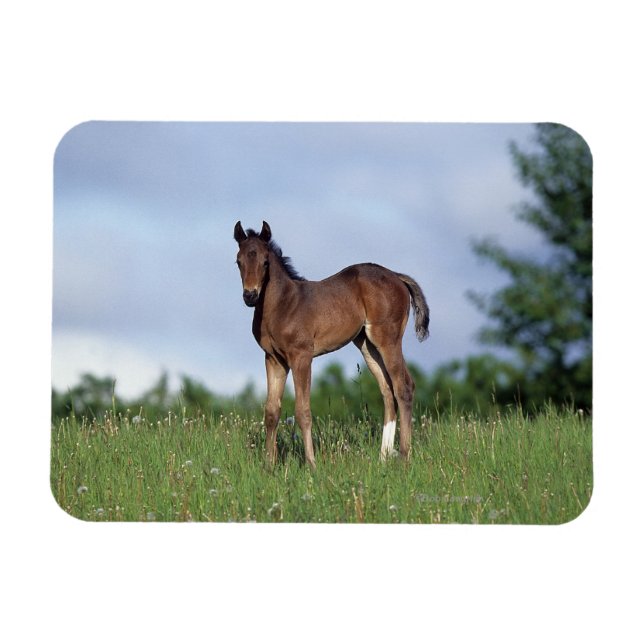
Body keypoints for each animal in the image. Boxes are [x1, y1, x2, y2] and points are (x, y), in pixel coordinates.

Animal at [234, 220, 429, 468]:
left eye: (265, 262)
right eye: (238, 262)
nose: (250, 296)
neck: (282, 304)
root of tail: (396, 275)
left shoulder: (301, 356)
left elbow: (303, 411)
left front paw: (311, 464)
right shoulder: (274, 359)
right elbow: (271, 411)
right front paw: (269, 465)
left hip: (388, 338)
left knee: (403, 386)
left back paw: (404, 456)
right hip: (367, 345)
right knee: (387, 391)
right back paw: (383, 458)